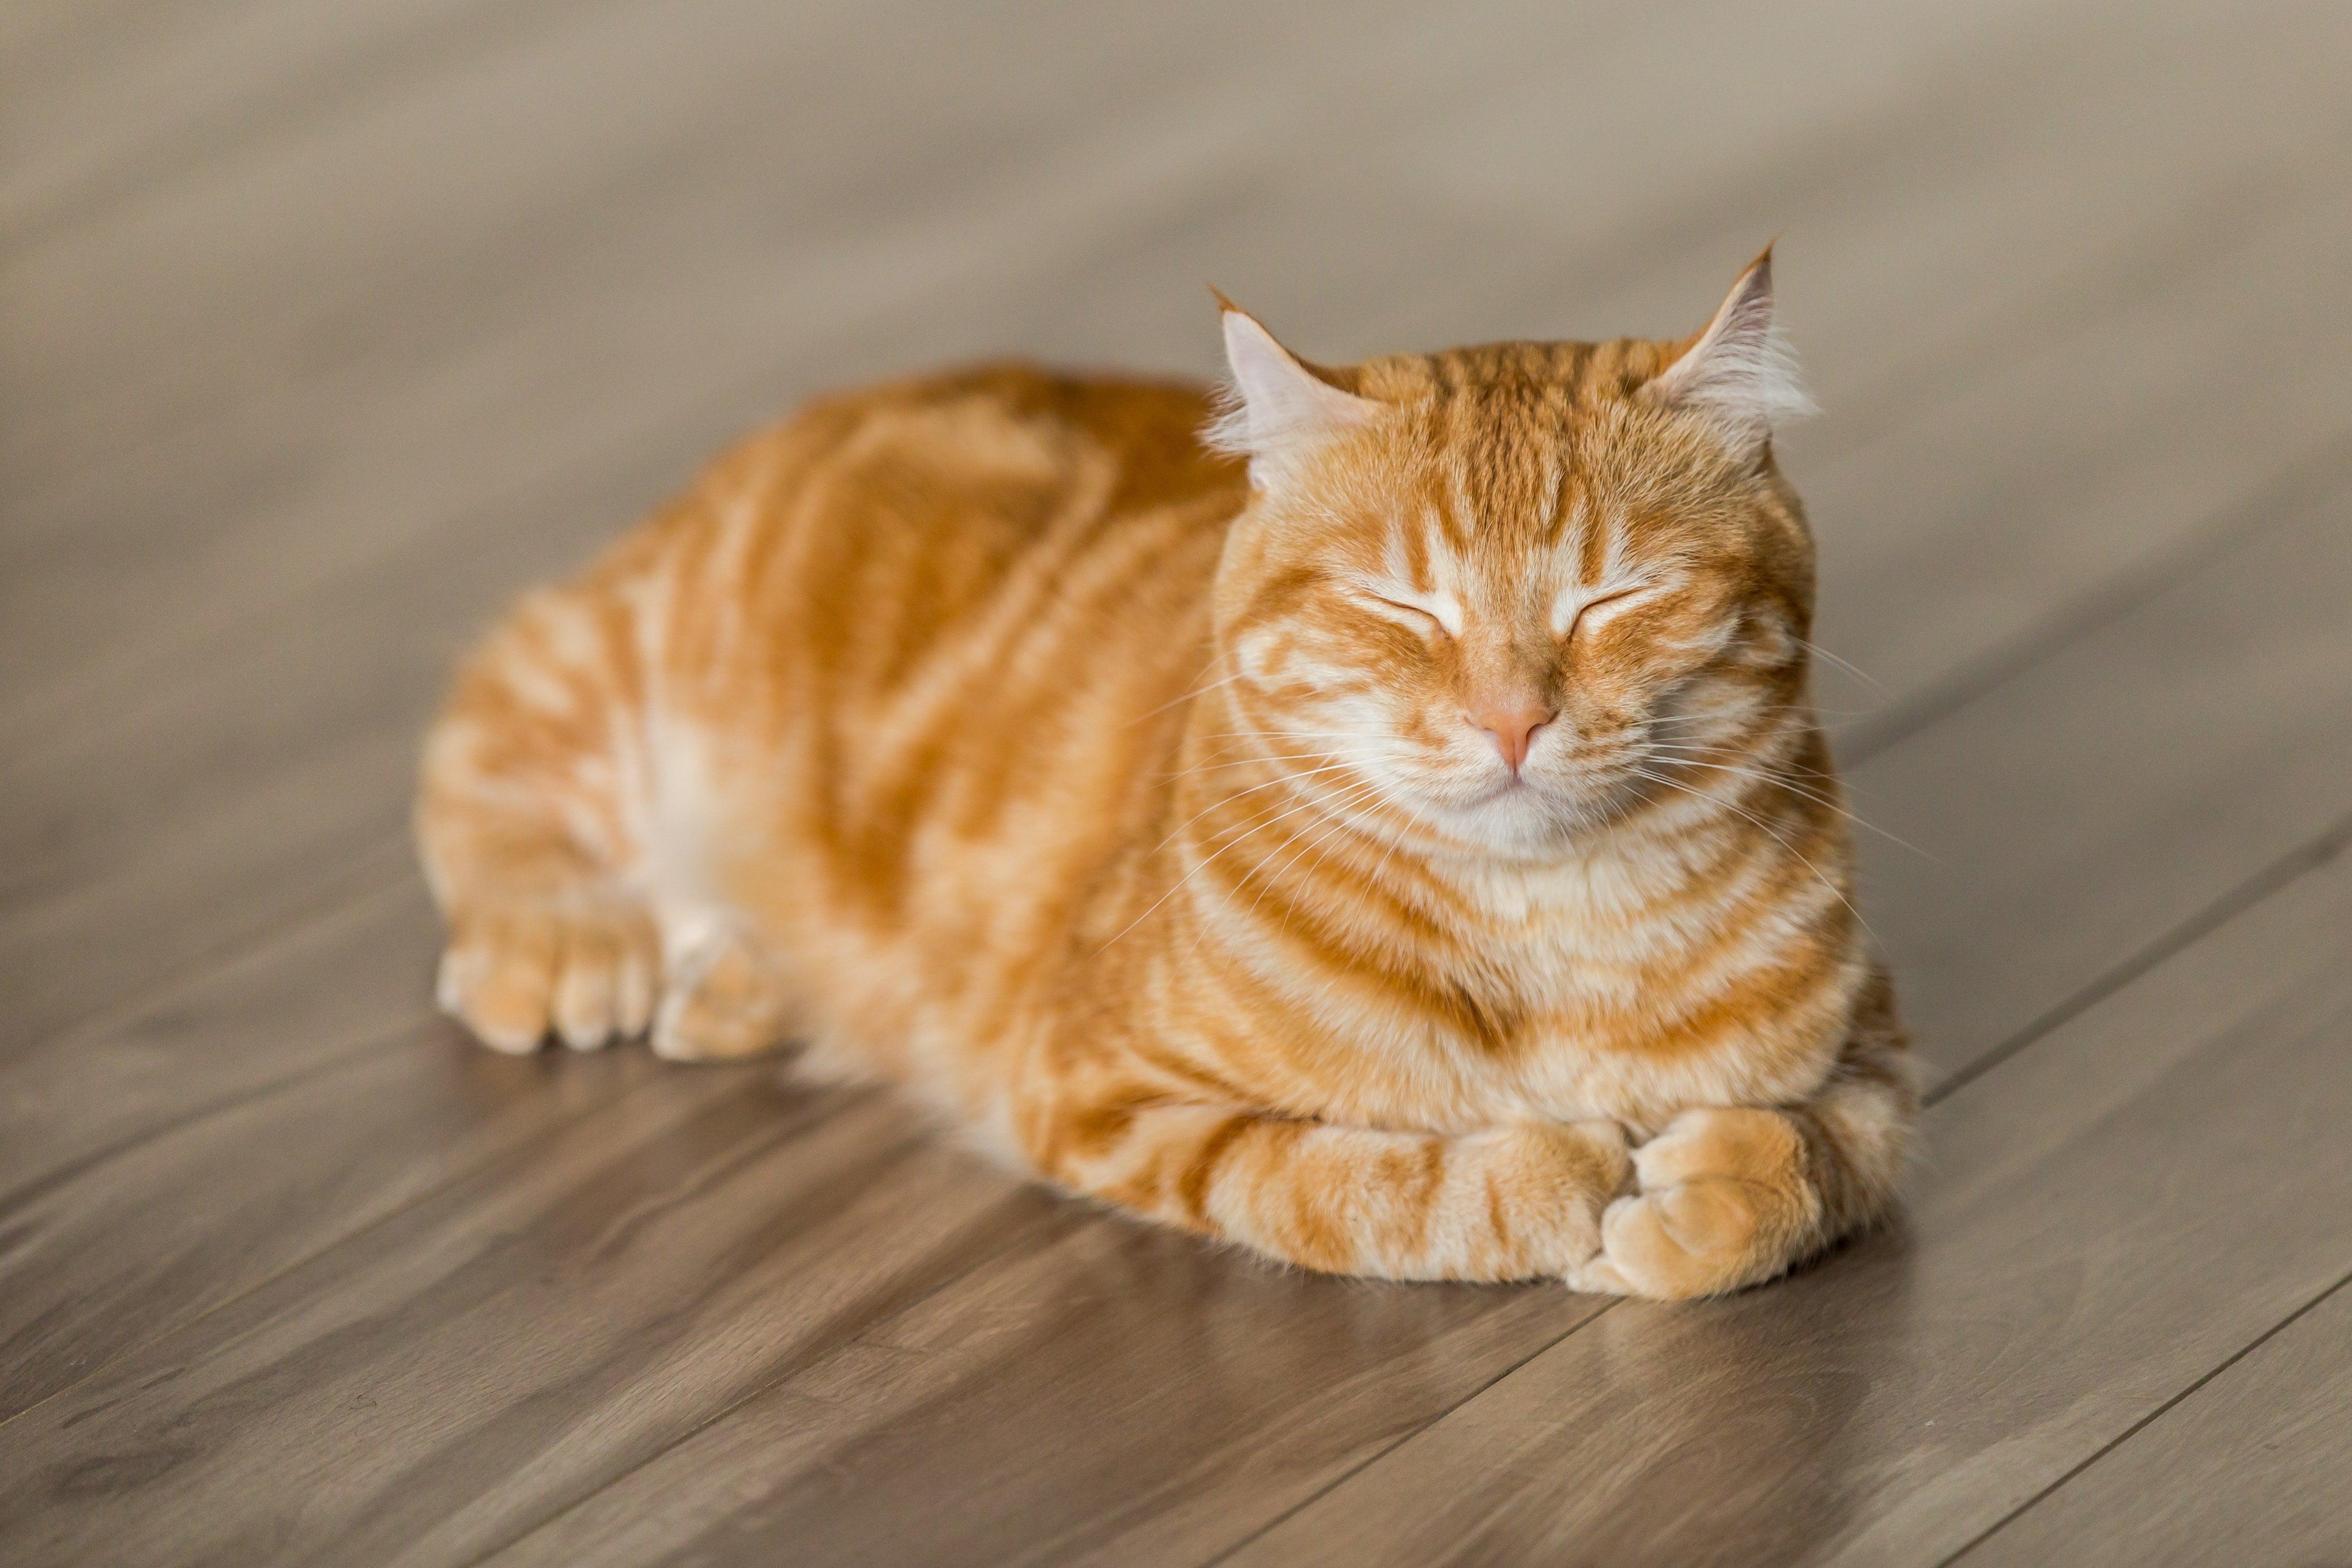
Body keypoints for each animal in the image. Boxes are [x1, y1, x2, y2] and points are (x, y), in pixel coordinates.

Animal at [419, 248, 1909, 1297]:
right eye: (1400, 606)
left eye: (1614, 596)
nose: (1508, 720)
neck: (1548, 937)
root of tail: (830, 400)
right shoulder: (1109, 1095)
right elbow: (1363, 1184)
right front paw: (1558, 1173)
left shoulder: (1878, 1053)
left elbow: (1818, 1158)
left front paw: (1703, 1197)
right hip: (620, 667)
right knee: (484, 743)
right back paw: (569, 938)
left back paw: (737, 982)